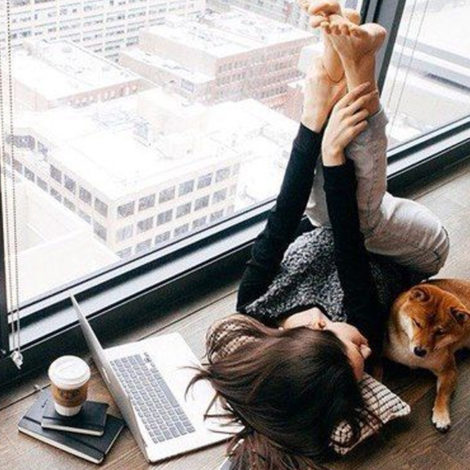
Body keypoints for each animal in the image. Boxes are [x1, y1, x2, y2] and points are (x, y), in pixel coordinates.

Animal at [384, 279, 470, 432]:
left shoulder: (448, 370)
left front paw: (441, 415)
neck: (413, 359)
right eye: (417, 323)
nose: (419, 351)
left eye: (440, 332)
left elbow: (442, 393)